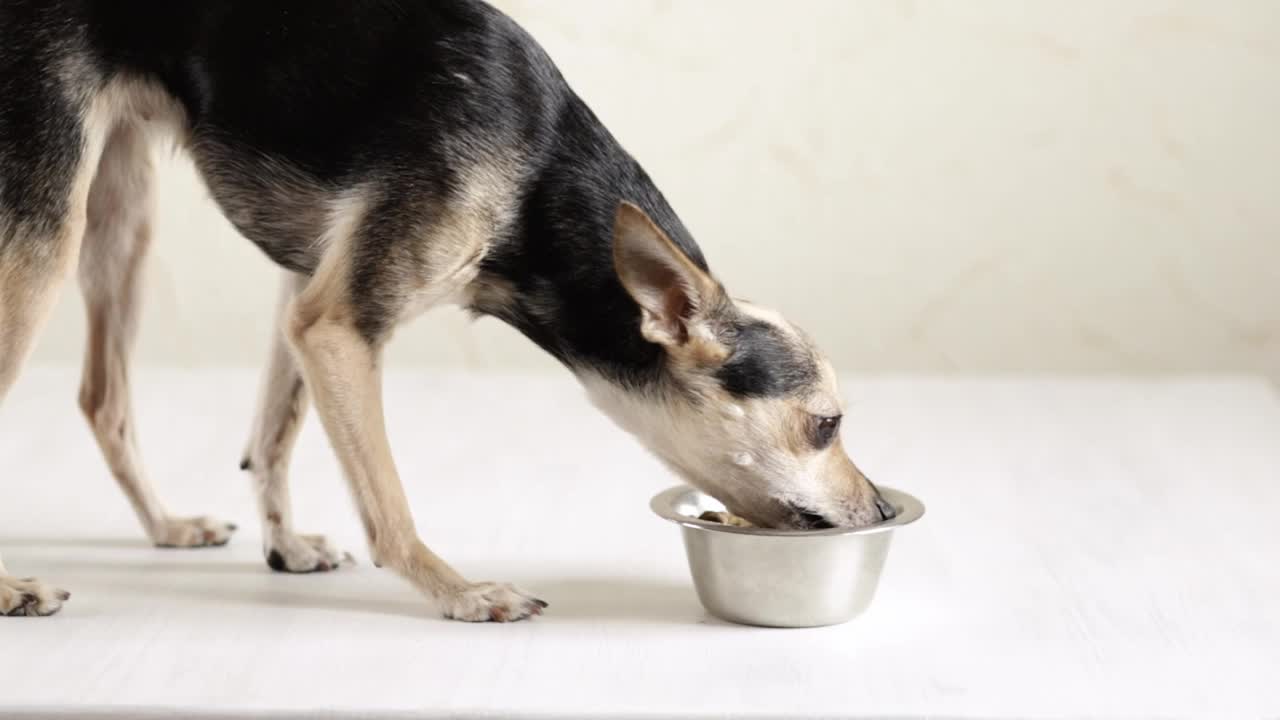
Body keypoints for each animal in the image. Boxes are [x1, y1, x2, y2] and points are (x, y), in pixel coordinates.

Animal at [0, 0, 890, 617]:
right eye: (826, 426)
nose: (880, 506)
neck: (534, 172)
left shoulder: (307, 289)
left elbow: (270, 438)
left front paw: (284, 545)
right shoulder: (338, 326)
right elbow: (386, 502)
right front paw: (459, 591)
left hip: (121, 211)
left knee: (104, 398)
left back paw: (165, 525)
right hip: (46, 230)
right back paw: (14, 587)